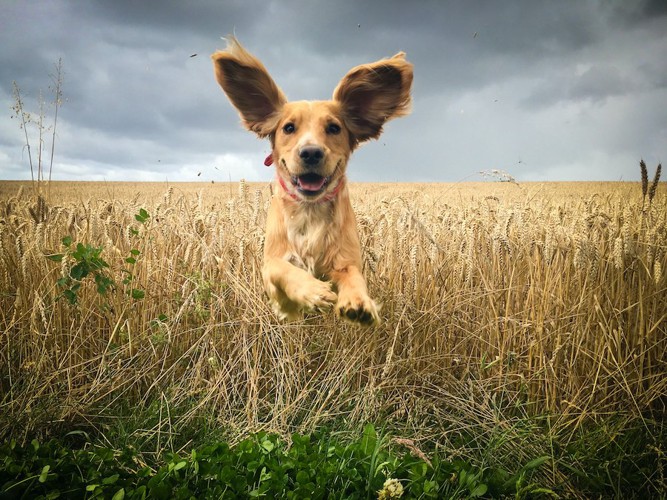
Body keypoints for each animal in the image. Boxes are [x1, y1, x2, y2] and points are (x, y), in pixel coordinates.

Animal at [213, 36, 412, 324]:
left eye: (334, 128)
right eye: (288, 128)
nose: (311, 153)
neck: (309, 210)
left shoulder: (346, 260)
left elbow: (355, 278)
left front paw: (359, 303)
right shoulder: (270, 264)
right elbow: (284, 270)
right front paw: (313, 292)